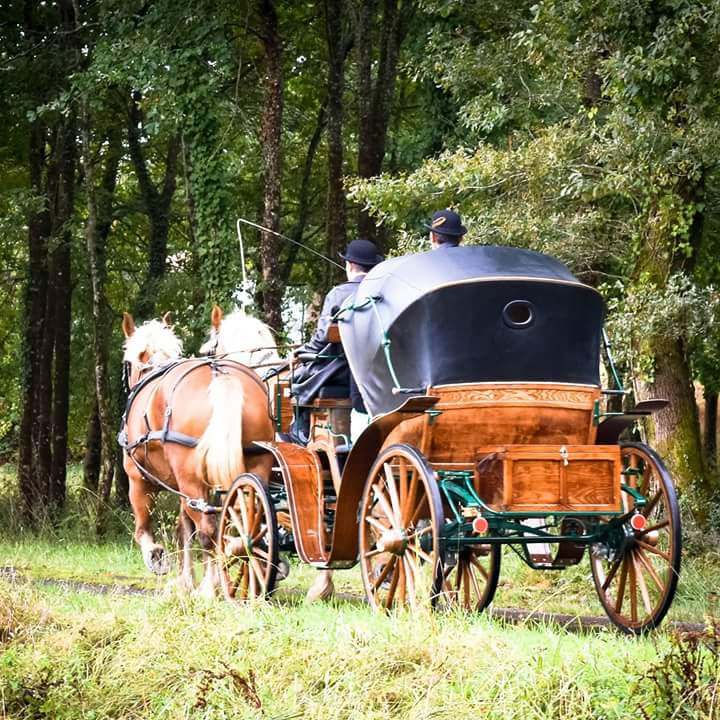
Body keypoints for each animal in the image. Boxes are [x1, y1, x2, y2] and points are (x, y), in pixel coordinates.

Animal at [121, 312, 272, 592]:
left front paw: (156, 557)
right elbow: (185, 527)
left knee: (208, 528)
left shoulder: (138, 479)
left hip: (189, 479)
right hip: (255, 466)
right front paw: (186, 579)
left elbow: (144, 526)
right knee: (244, 521)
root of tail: (220, 375)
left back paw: (210, 588)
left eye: (128, 362)